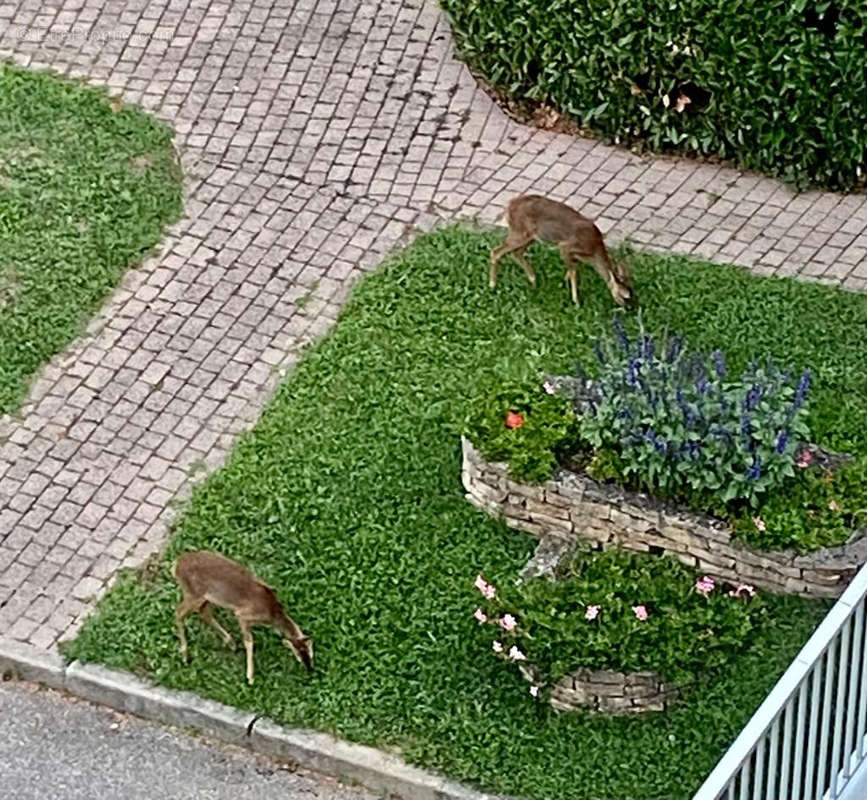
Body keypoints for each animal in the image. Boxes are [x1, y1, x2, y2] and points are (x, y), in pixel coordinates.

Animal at [173, 552, 316, 688]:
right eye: (298, 654)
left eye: (310, 651)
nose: (310, 668)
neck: (271, 611)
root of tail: (176, 564)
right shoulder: (243, 616)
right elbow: (249, 642)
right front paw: (250, 678)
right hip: (193, 593)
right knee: (179, 613)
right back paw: (185, 656)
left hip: (207, 598)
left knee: (204, 613)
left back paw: (230, 643)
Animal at [488, 193, 636, 306]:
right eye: (625, 297)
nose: (628, 308)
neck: (593, 251)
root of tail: (509, 206)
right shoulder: (565, 247)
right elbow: (574, 272)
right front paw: (576, 301)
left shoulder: (574, 255)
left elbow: (571, 270)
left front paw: (563, 283)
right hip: (519, 233)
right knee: (496, 252)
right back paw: (492, 285)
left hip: (530, 237)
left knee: (516, 252)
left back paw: (533, 279)